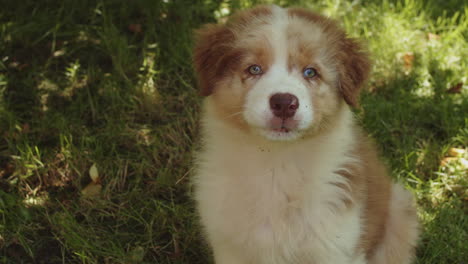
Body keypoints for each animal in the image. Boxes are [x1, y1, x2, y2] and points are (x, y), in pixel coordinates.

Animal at [192, 4, 418, 264]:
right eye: (254, 69)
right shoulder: (229, 247)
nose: (283, 103)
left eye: (311, 72)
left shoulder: (335, 248)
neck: (277, 164)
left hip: (400, 213)